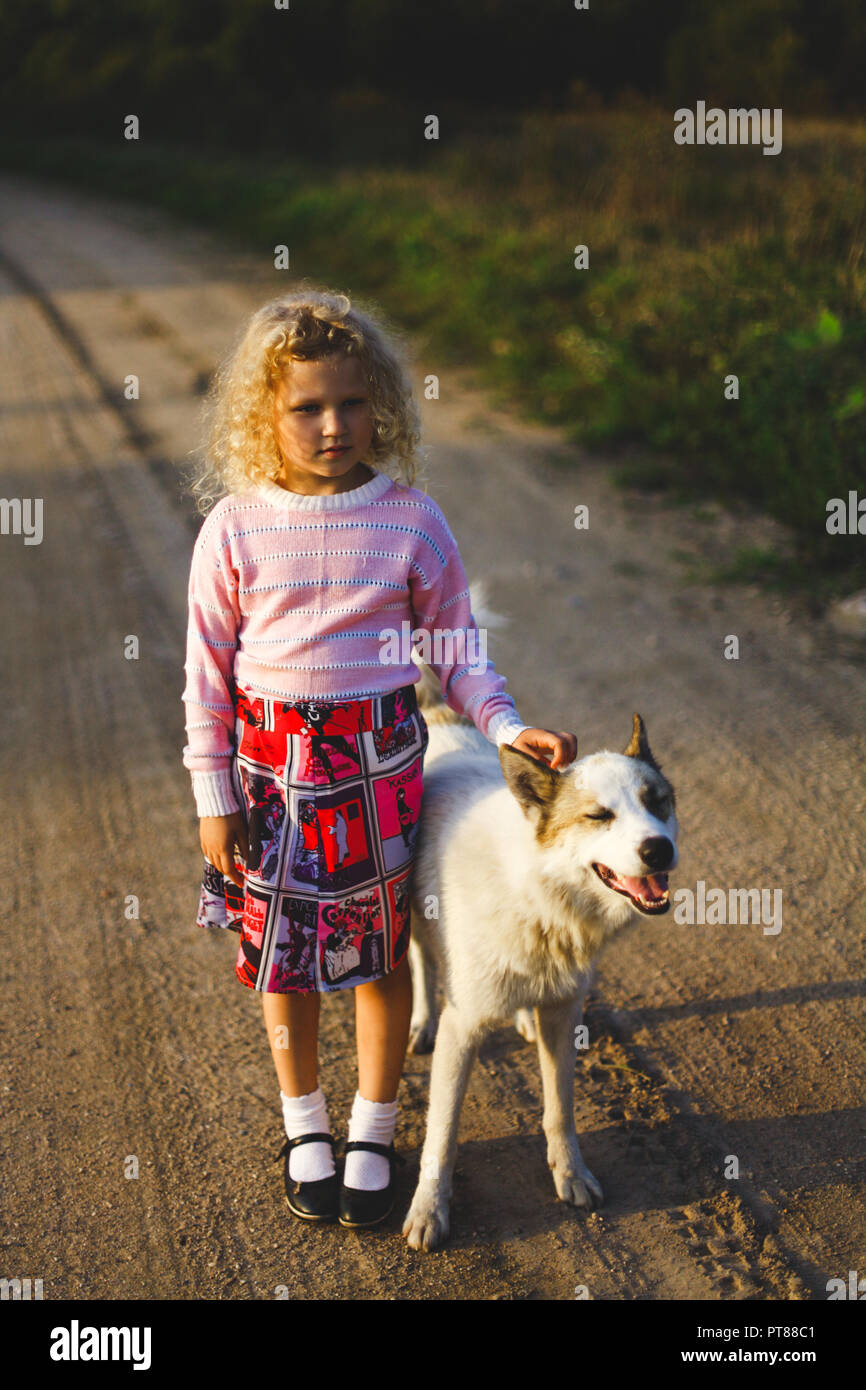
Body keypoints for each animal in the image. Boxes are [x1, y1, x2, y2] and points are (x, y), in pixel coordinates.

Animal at [403, 650, 681, 1251]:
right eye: (599, 816)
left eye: (657, 803)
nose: (659, 849)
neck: (539, 891)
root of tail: (437, 714)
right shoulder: (463, 1028)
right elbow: (442, 1134)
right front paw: (429, 1209)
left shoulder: (564, 1012)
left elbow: (560, 1110)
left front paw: (570, 1174)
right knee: (420, 961)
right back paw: (419, 1019)